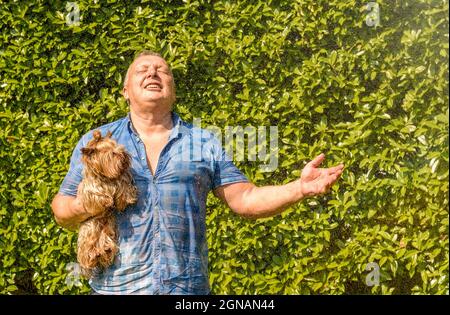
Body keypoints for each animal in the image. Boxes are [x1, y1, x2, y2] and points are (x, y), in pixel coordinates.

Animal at [77, 130, 137, 278]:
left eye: (121, 149)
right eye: (112, 154)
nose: (124, 155)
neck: (106, 178)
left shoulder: (120, 180)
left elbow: (123, 186)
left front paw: (126, 198)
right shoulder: (89, 189)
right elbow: (96, 193)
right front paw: (106, 200)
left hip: (108, 226)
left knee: (104, 241)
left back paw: (104, 250)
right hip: (90, 227)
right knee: (87, 247)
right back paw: (92, 255)